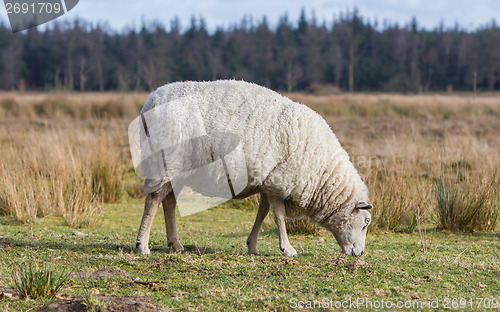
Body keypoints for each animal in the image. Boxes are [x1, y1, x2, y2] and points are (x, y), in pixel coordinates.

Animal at [131, 79, 374, 258]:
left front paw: (253, 246)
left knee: (169, 202)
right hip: (168, 160)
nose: (360, 253)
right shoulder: (280, 181)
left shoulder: (269, 182)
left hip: (180, 169)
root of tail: (151, 101)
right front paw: (288, 249)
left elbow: (263, 213)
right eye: (365, 223)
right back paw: (142, 245)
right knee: (153, 199)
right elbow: (279, 217)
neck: (321, 173)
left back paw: (175, 244)